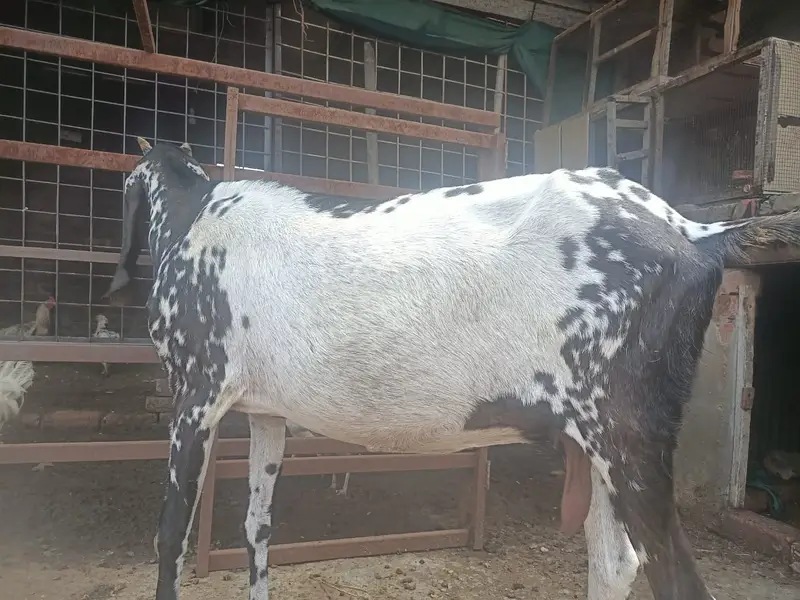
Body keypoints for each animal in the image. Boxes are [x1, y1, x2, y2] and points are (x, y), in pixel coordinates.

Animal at [107, 137, 800, 600]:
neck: (196, 216)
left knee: (672, 575)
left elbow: (170, 536)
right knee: (615, 563)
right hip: (597, 446)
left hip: (629, 437)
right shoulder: (266, 414)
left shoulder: (195, 393)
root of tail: (693, 230)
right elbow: (257, 529)